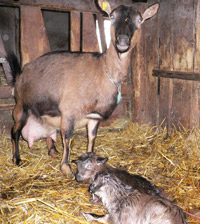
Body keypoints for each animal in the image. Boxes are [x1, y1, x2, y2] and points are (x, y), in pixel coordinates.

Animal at [10, 0, 159, 178]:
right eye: (112, 16)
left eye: (140, 20)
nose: (122, 40)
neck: (102, 71)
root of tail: (22, 73)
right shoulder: (68, 112)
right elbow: (68, 138)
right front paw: (66, 168)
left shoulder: (94, 117)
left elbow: (92, 137)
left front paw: (91, 159)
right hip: (21, 106)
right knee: (14, 131)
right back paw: (16, 159)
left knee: (48, 132)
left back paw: (52, 151)